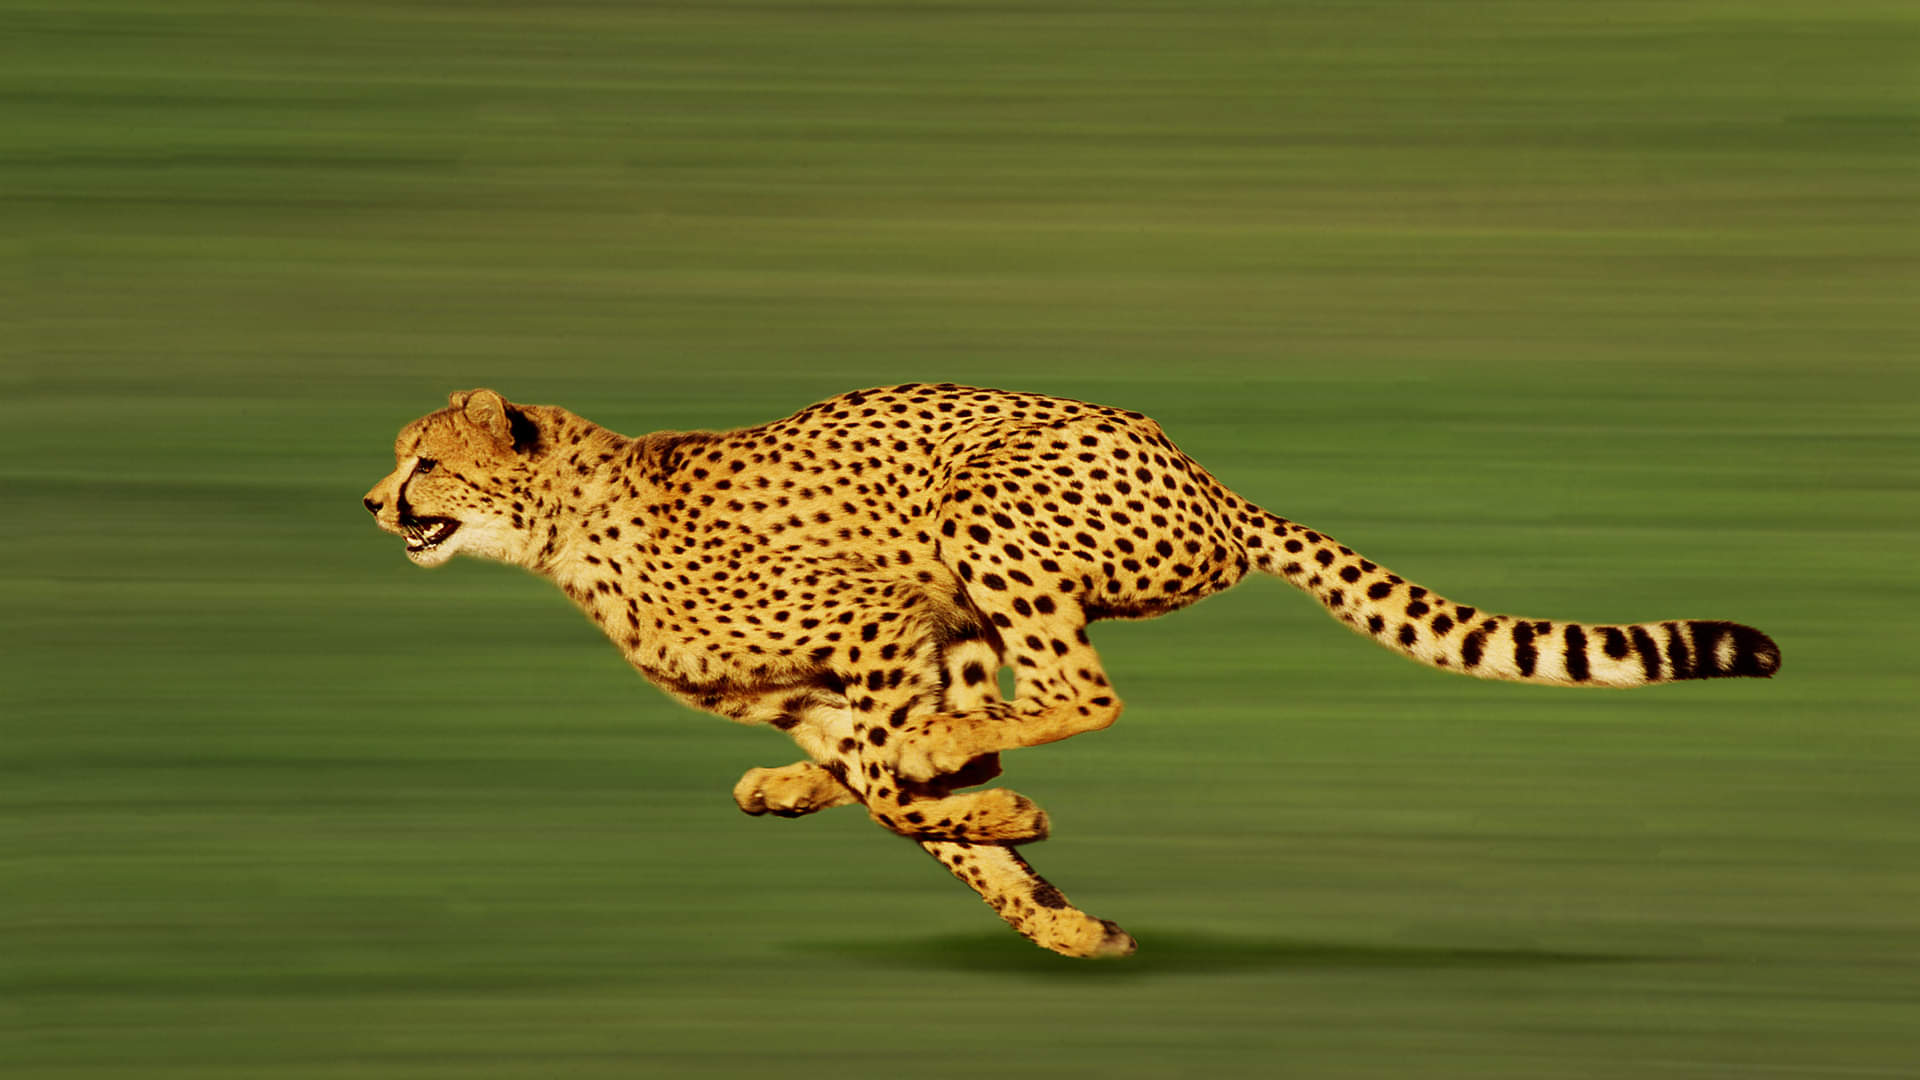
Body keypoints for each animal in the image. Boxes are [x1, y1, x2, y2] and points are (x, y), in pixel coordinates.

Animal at [363, 383, 1781, 958]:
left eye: (425, 460)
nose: (373, 501)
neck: (567, 524)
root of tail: (1211, 480)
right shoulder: (843, 681)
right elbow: (916, 812)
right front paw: (1059, 919)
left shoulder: (879, 623)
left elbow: (913, 790)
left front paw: (1009, 832)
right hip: (975, 597)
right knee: (995, 714)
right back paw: (804, 789)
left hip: (983, 501)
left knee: (1078, 694)